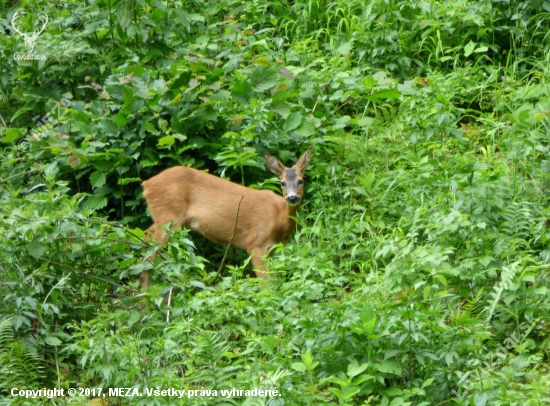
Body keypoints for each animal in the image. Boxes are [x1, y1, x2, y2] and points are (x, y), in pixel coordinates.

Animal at [141, 147, 314, 288]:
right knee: (149, 253)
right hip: (169, 217)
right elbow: (266, 284)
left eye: (301, 181)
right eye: (282, 183)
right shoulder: (256, 243)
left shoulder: (273, 248)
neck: (279, 217)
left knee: (145, 236)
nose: (292, 198)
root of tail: (147, 184)